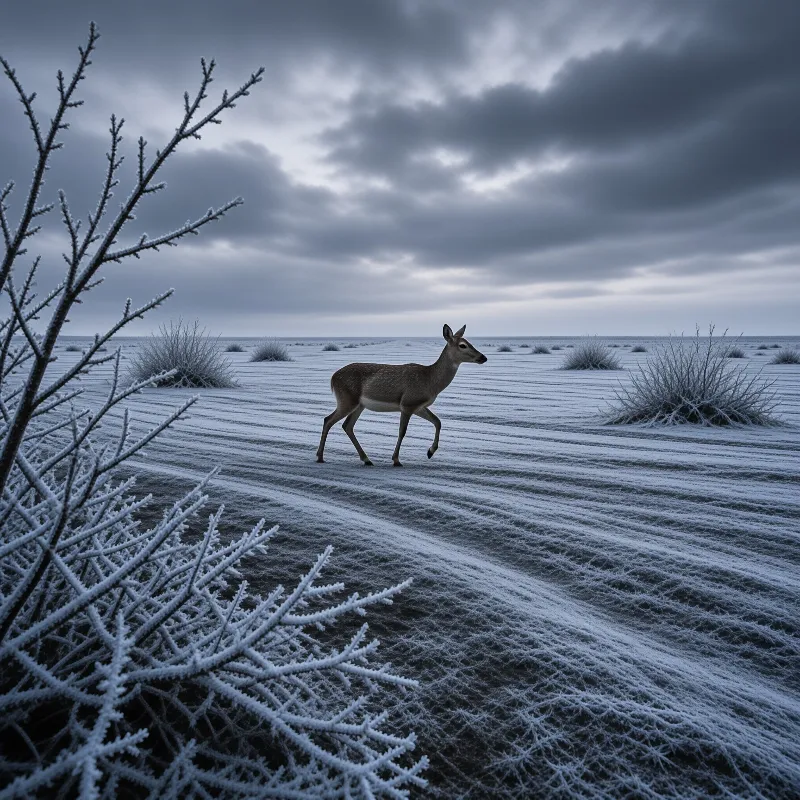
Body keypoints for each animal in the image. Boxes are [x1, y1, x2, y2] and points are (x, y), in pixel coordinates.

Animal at [316, 324, 487, 467]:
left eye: (469, 342)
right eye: (463, 345)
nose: (483, 357)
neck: (430, 381)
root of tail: (333, 377)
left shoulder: (418, 405)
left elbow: (438, 422)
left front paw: (430, 452)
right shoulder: (407, 403)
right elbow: (402, 431)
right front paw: (396, 460)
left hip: (359, 404)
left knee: (347, 425)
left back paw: (366, 459)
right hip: (346, 399)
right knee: (328, 420)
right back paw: (320, 457)